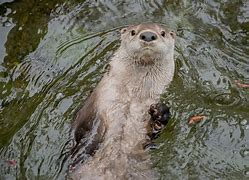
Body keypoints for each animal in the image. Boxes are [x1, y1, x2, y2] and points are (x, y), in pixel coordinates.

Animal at [70, 23, 175, 179]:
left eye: (163, 33)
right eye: (133, 32)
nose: (148, 35)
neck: (132, 97)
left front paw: (160, 112)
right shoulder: (97, 105)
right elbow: (88, 130)